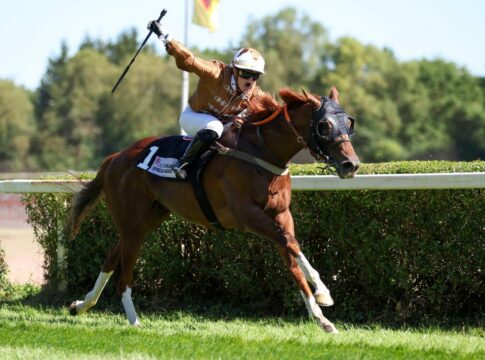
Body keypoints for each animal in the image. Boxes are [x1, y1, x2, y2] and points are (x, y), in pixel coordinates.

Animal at [68, 86, 358, 334]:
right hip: (133, 219)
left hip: (148, 218)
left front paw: (321, 317)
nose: (351, 164)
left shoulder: (281, 215)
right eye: (324, 125)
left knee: (111, 256)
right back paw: (134, 321)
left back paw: (81, 305)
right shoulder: (247, 214)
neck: (262, 152)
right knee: (123, 272)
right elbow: (290, 243)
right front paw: (324, 292)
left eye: (349, 123)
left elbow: (292, 255)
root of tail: (116, 157)